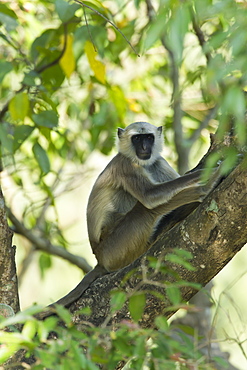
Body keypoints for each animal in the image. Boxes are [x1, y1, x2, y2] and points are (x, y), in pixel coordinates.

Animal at [39, 122, 222, 318]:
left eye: (148, 137)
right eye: (137, 138)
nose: (144, 148)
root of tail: (99, 258)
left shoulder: (159, 162)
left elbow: (159, 170)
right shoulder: (126, 165)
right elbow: (150, 197)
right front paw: (210, 172)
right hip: (117, 248)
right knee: (145, 209)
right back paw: (206, 187)